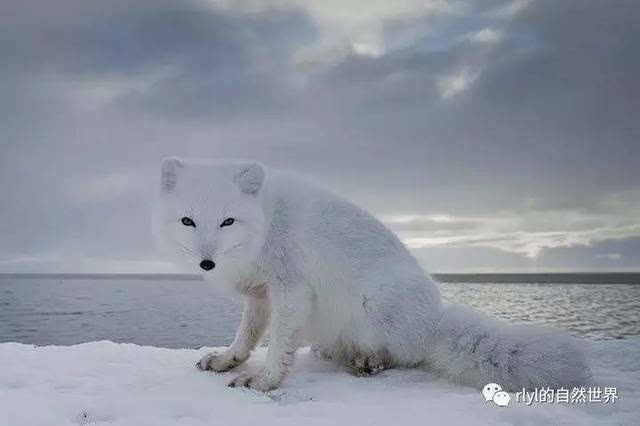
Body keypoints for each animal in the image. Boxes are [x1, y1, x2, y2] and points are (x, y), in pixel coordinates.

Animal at [152, 157, 592, 392]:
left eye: (228, 221)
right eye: (188, 221)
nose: (206, 263)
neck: (263, 226)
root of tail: (433, 318)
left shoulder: (291, 290)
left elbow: (278, 345)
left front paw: (264, 381)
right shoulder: (261, 294)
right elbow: (246, 336)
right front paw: (228, 360)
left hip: (376, 304)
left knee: (407, 354)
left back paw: (371, 361)